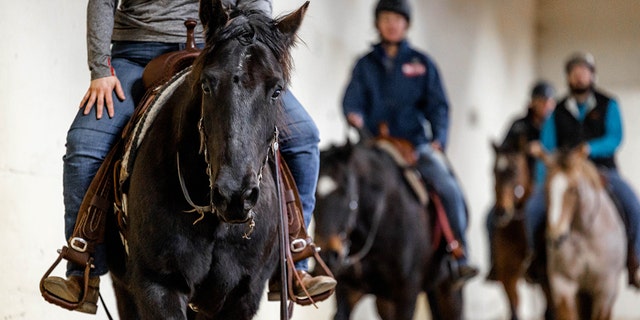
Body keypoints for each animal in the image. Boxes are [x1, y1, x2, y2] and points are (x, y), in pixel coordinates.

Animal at [540, 146, 624, 318]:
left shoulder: (605, 291)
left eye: (573, 189)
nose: (556, 237)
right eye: (545, 189)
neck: (584, 234)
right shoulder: (562, 284)